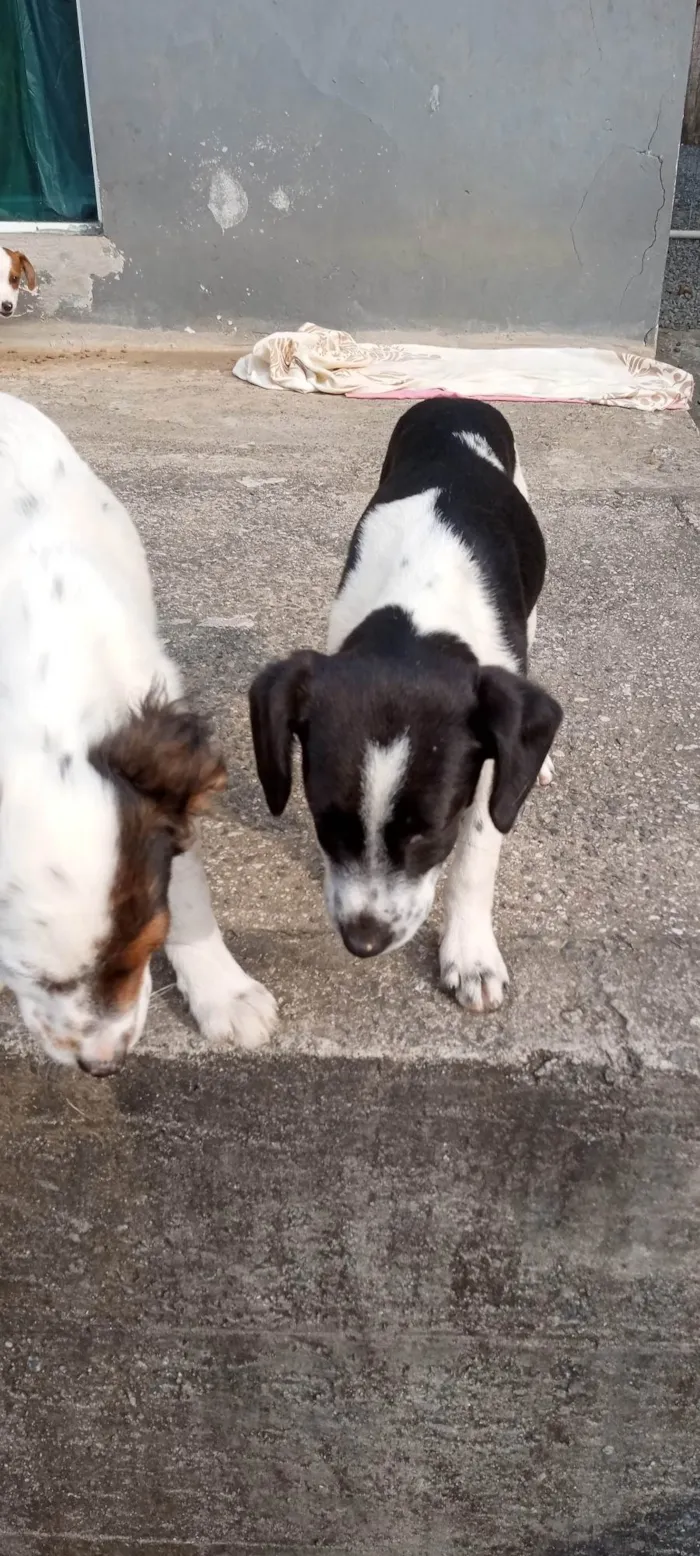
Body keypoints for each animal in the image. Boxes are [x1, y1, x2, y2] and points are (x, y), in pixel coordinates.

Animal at [252, 395, 563, 1014]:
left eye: (431, 833)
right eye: (324, 822)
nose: (364, 941)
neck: (418, 616)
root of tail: (454, 399)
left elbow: (478, 852)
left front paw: (470, 955)